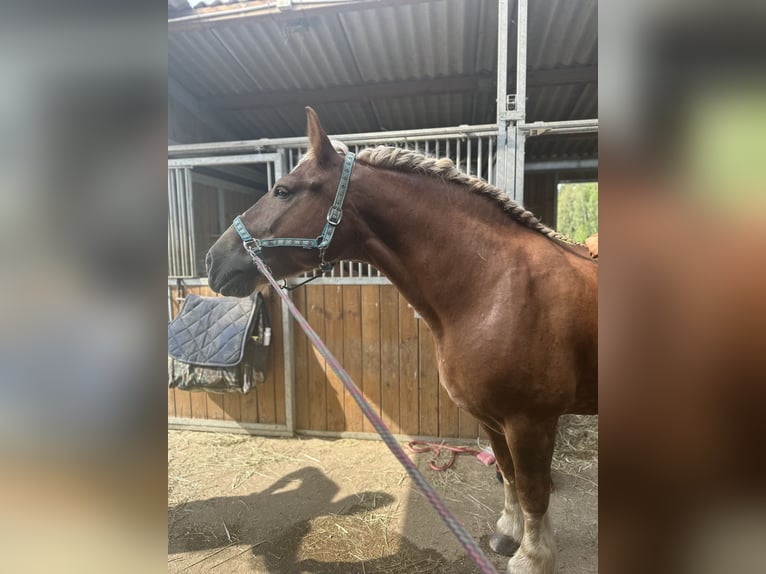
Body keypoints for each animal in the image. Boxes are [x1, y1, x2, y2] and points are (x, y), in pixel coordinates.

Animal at [206, 109, 600, 574]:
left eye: (282, 190)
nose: (213, 261)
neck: (495, 286)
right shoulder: (492, 419)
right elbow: (508, 476)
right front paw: (508, 533)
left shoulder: (530, 421)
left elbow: (533, 489)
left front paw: (533, 558)